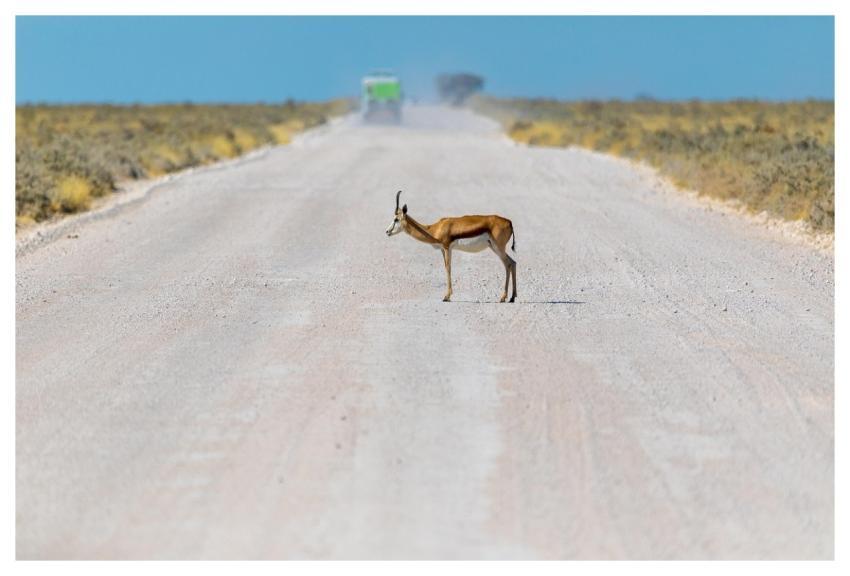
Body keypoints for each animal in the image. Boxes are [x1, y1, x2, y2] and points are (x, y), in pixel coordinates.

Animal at [385, 191, 517, 303]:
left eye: (396, 219)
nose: (387, 231)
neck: (434, 229)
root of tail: (509, 222)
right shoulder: (443, 249)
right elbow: (445, 267)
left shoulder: (447, 247)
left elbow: (448, 268)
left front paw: (446, 296)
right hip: (494, 247)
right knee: (513, 262)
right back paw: (512, 297)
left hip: (498, 248)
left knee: (508, 264)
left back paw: (503, 297)